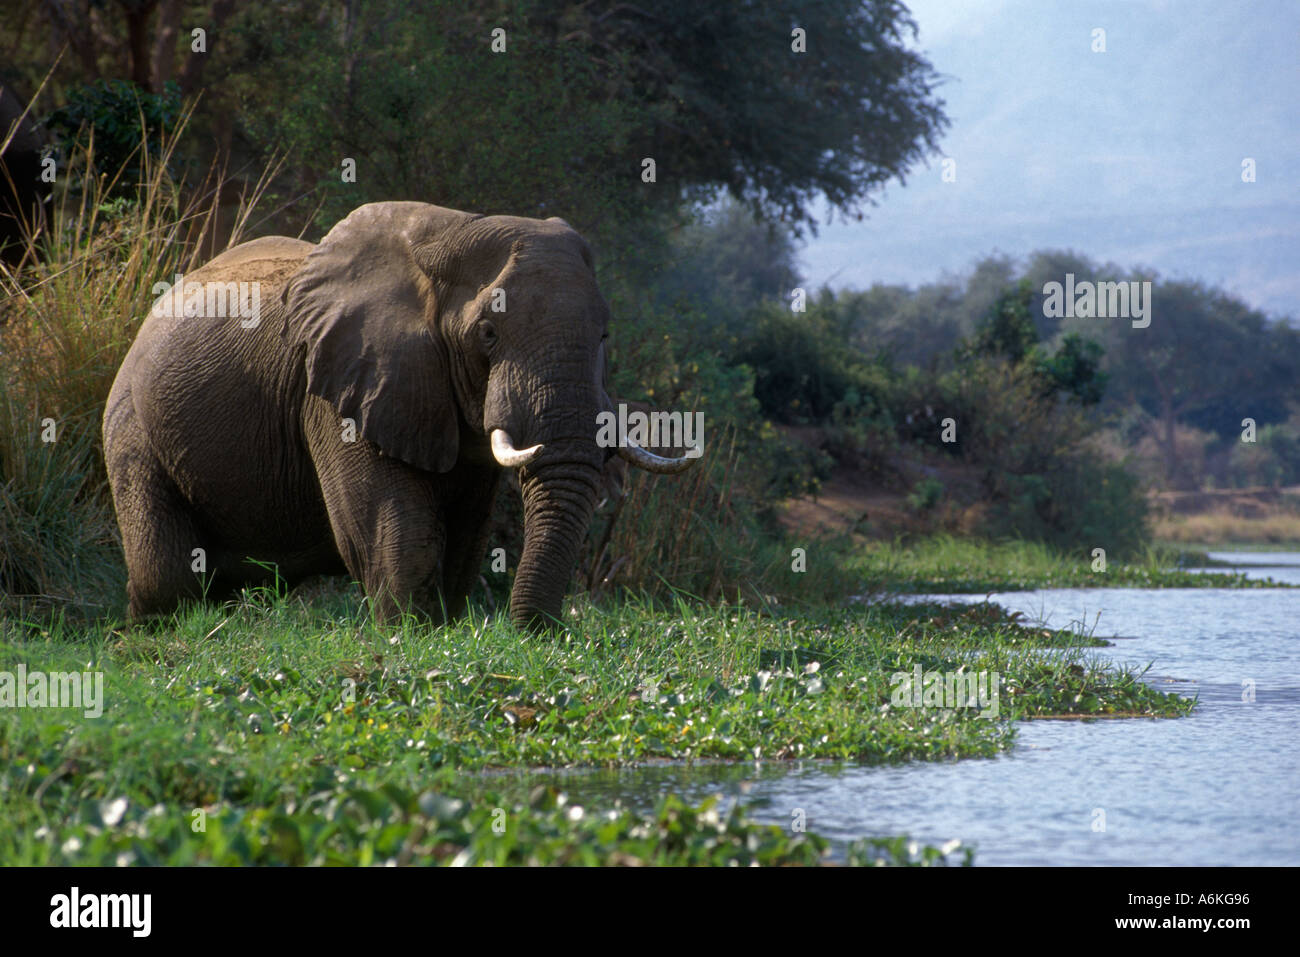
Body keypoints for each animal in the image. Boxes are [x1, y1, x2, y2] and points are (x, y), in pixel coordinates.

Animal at [103, 202, 695, 628]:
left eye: (605, 335)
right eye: (487, 333)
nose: (535, 634)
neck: (450, 233)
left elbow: (468, 533)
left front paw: (442, 628)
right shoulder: (335, 385)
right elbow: (394, 525)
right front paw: (409, 634)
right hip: (131, 426)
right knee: (167, 576)